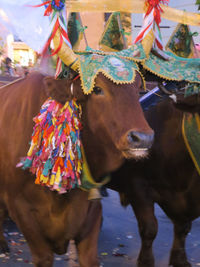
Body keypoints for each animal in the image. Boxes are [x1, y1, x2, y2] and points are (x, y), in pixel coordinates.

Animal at [0, 71, 153, 267]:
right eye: (97, 89)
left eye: (138, 89)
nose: (143, 138)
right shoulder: (20, 209)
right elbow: (44, 257)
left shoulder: (91, 211)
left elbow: (90, 259)